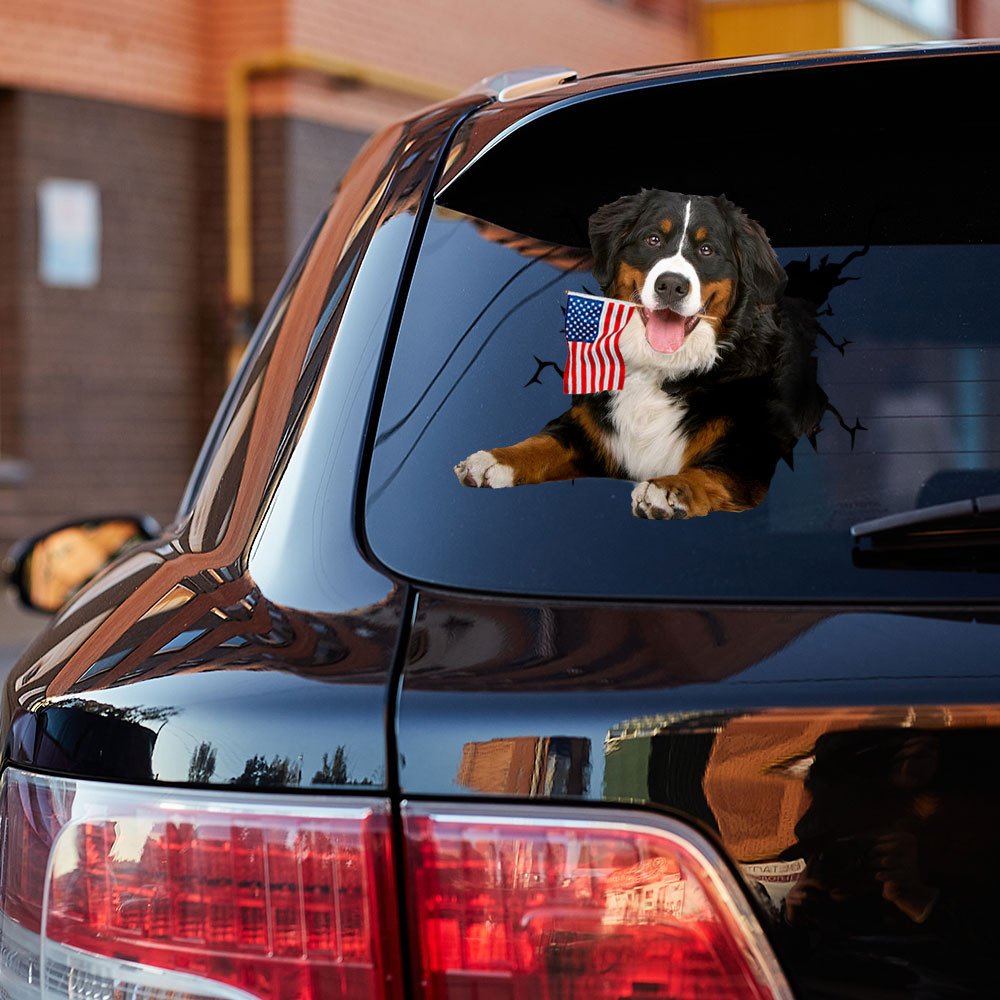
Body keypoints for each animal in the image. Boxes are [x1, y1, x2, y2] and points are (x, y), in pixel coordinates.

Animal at [452, 188, 820, 520]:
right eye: (653, 240)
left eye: (707, 249)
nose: (671, 285)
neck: (660, 368)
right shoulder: (589, 430)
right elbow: (543, 443)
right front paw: (495, 459)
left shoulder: (743, 456)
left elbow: (704, 474)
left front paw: (668, 489)